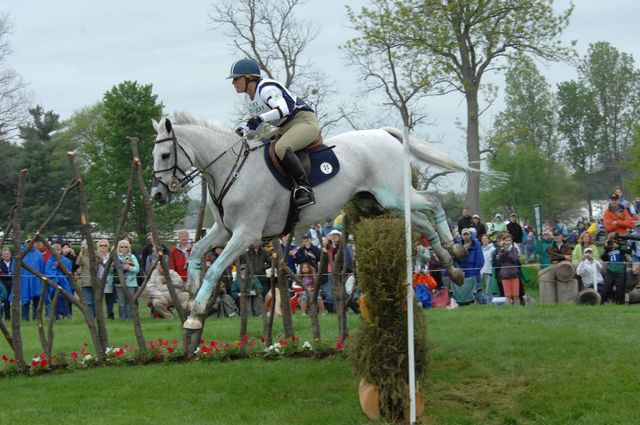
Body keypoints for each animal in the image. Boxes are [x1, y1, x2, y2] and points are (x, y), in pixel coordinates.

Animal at [150, 112, 470, 328]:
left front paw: (195, 314)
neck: (232, 169)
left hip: (394, 195)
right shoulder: (223, 230)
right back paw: (453, 267)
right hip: (379, 201)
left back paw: (455, 248)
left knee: (433, 201)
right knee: (422, 221)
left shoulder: (246, 234)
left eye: (165, 154)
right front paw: (192, 296)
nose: (157, 195)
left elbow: (215, 268)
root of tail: (383, 133)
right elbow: (197, 250)